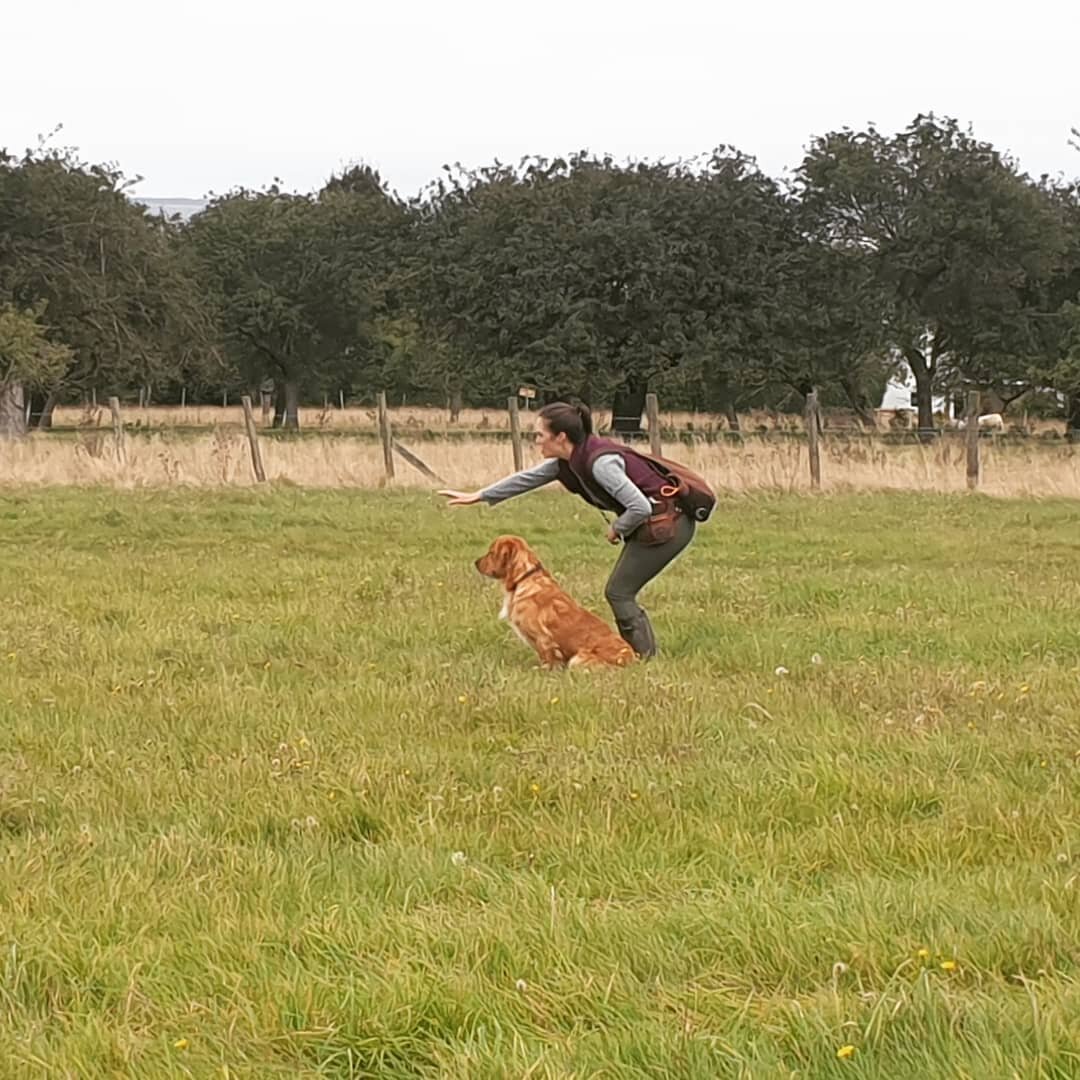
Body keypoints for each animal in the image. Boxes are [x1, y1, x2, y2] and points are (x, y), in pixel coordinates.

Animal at [473, 533, 630, 665]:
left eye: (491, 553)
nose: (475, 562)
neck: (524, 578)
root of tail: (631, 659)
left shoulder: (543, 638)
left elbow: (548, 659)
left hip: (577, 660)